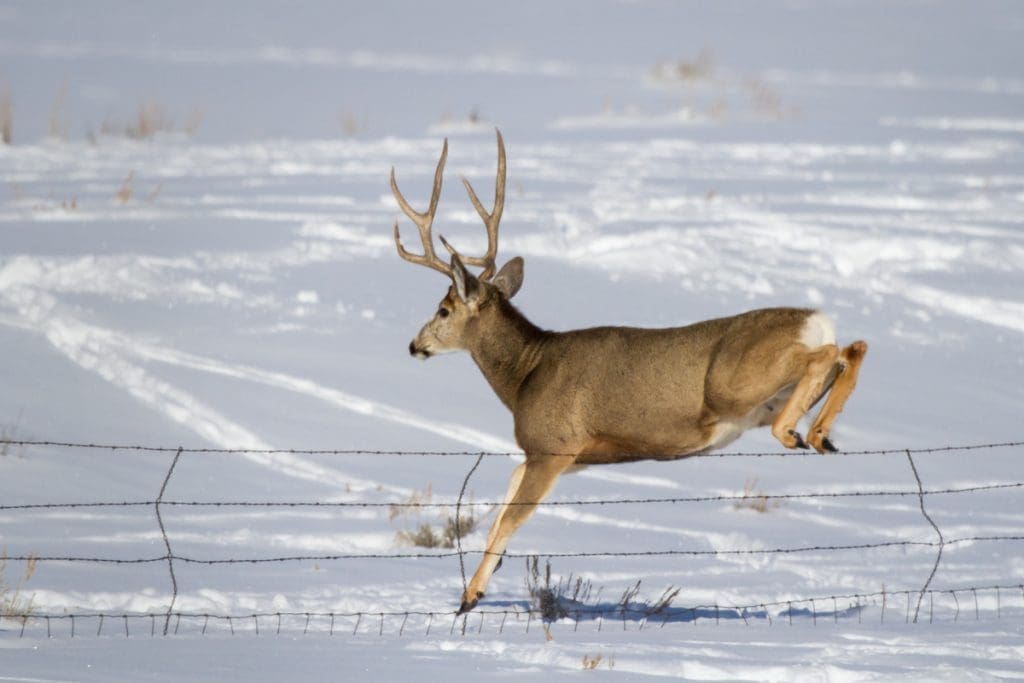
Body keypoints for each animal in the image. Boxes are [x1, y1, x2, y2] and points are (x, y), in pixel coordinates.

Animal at [387, 127, 868, 614]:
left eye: (443, 310)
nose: (414, 345)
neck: (526, 372)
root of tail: (814, 319)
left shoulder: (553, 445)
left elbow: (509, 519)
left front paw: (469, 597)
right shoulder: (560, 454)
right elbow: (502, 505)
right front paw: (476, 588)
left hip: (732, 385)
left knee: (828, 353)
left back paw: (795, 434)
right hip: (768, 394)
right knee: (852, 348)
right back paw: (820, 434)